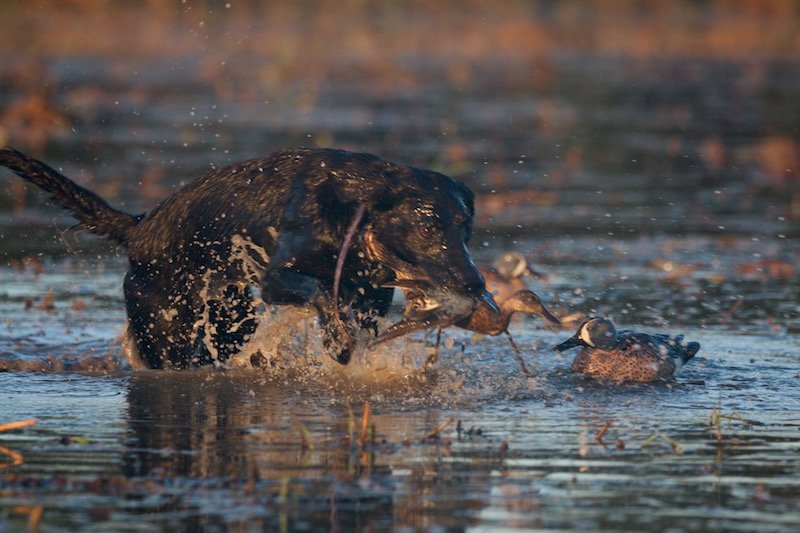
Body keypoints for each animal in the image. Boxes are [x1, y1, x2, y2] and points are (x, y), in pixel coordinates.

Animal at [0, 148, 496, 368]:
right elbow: (320, 292)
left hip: (229, 317)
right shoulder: (278, 277)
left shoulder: (371, 295)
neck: (349, 205)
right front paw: (336, 341)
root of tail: (139, 228)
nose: (475, 286)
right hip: (167, 328)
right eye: (428, 229)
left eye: (466, 229)